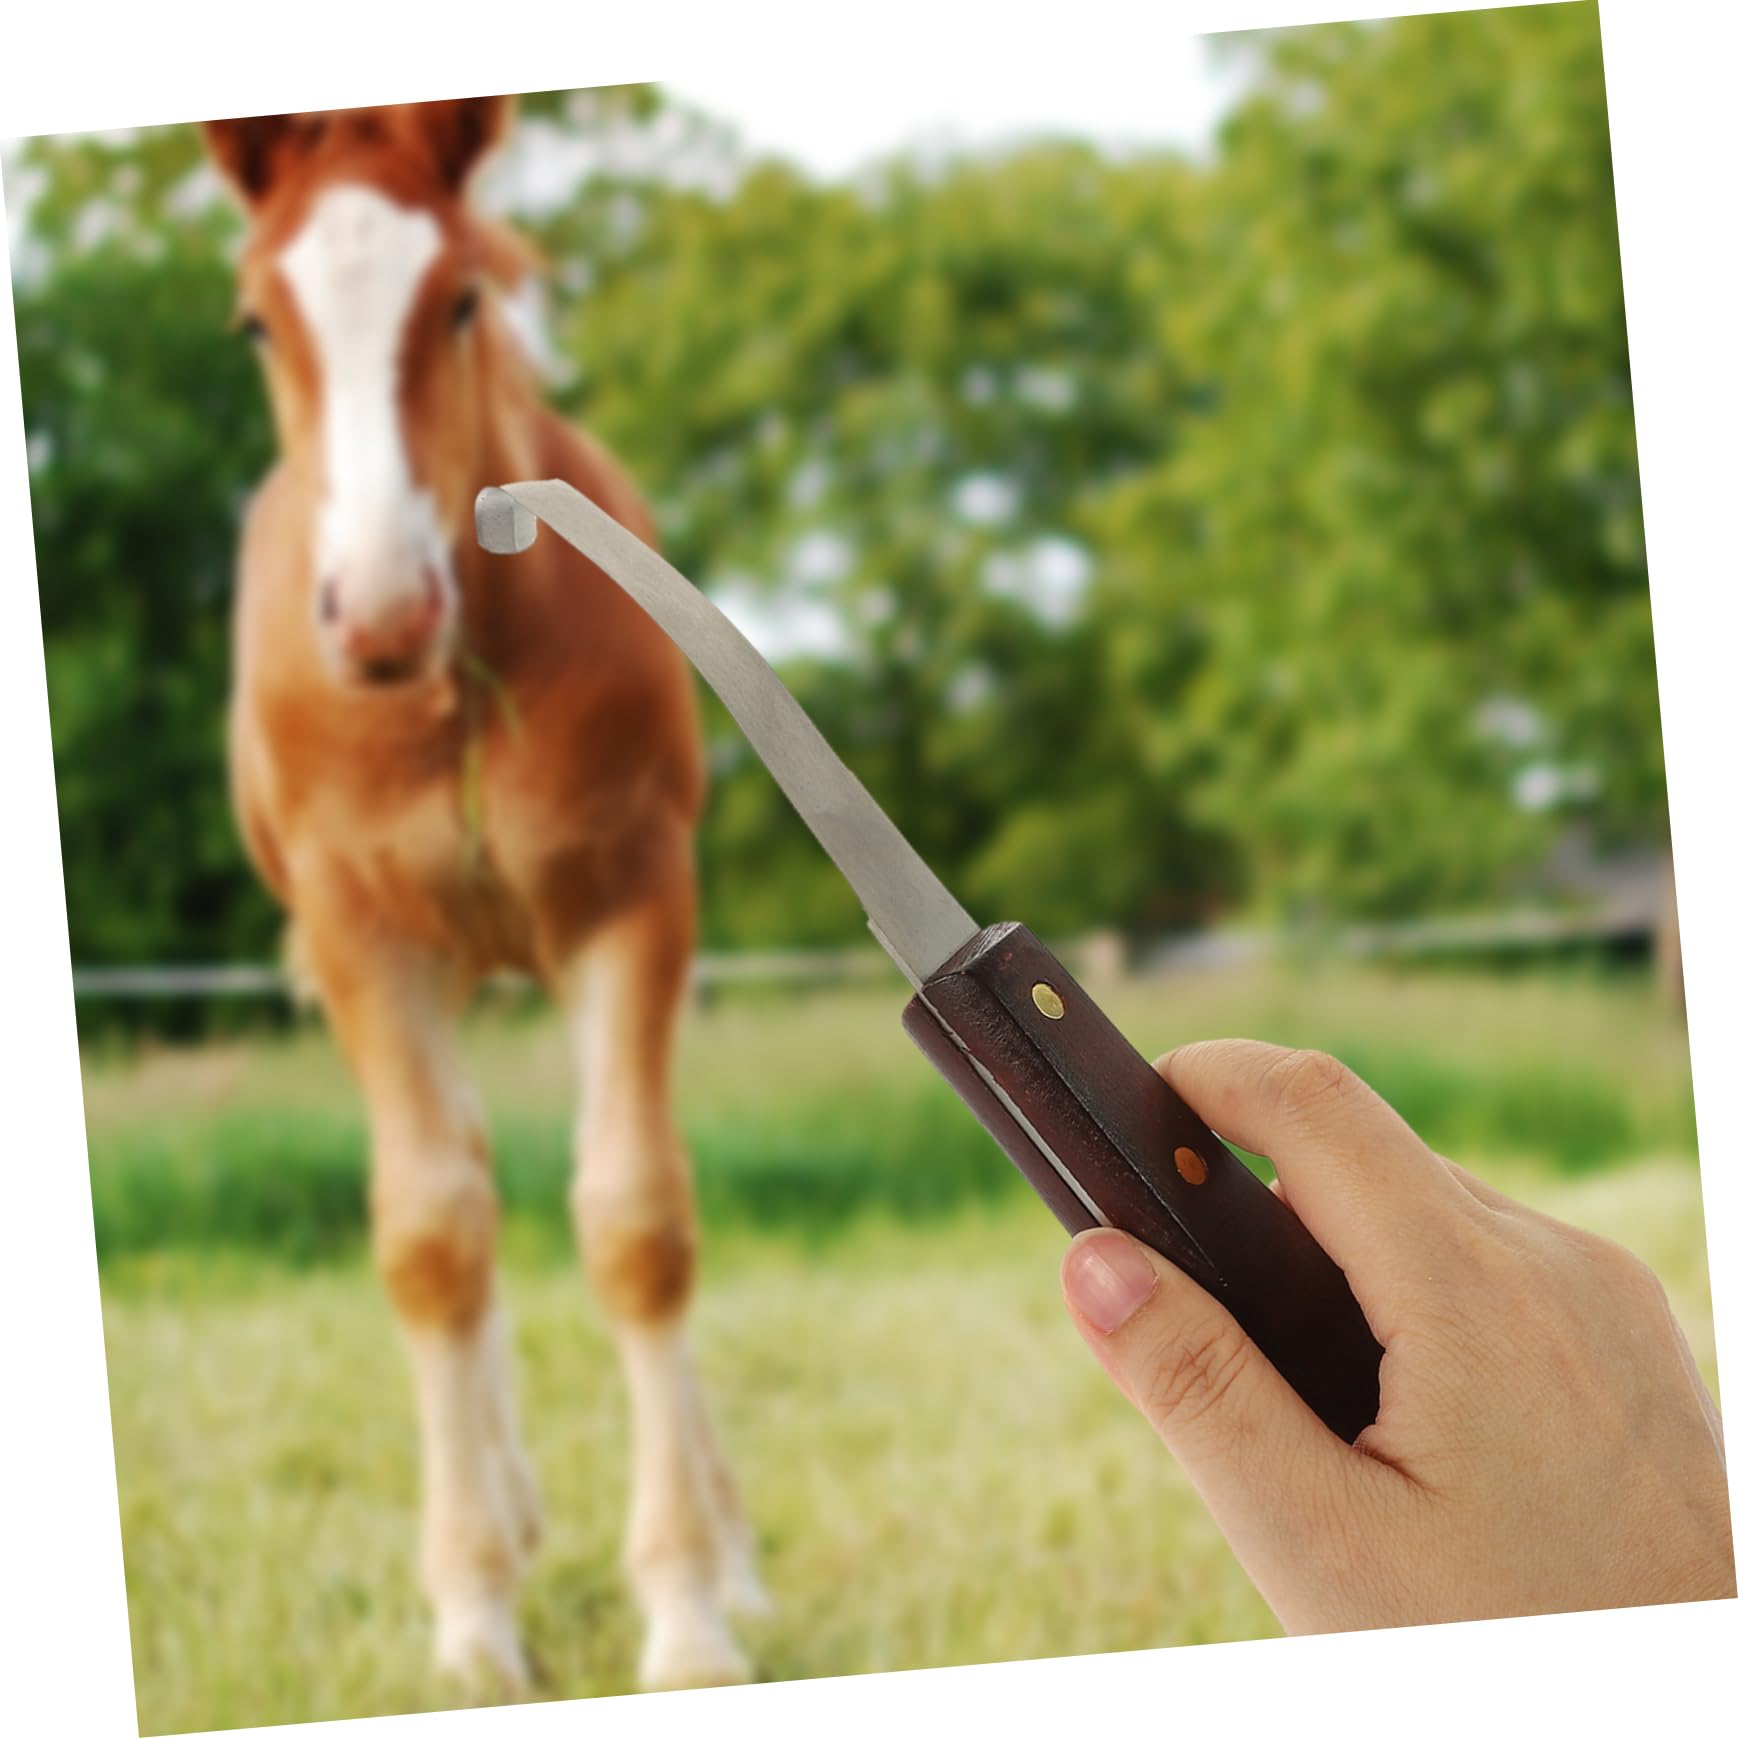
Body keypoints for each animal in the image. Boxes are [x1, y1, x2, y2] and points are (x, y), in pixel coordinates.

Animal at [203, 95, 763, 1696]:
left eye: (458, 299)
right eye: (255, 321)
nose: (381, 612)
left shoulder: (631, 902)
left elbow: (637, 1219)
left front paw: (688, 1611)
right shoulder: (362, 936)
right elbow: (432, 1235)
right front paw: (469, 1618)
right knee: (455, 1181)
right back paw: (505, 1519)